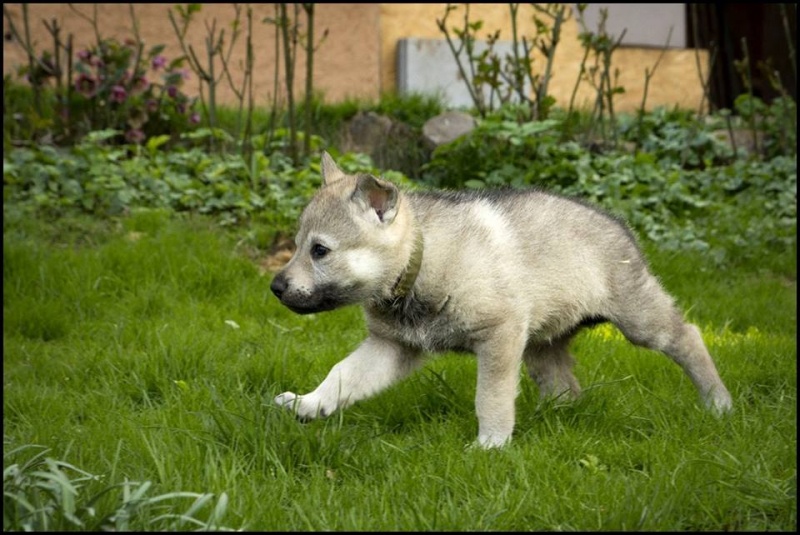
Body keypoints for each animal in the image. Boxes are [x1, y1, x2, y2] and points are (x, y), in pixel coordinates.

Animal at [272, 153, 736, 450]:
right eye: (297, 245)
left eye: (319, 251)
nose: (275, 286)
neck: (421, 260)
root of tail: (621, 225)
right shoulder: (392, 346)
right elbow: (342, 374)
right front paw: (309, 403)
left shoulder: (498, 337)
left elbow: (490, 396)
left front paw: (491, 443)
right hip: (540, 346)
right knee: (565, 388)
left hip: (640, 320)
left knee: (689, 336)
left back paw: (718, 402)